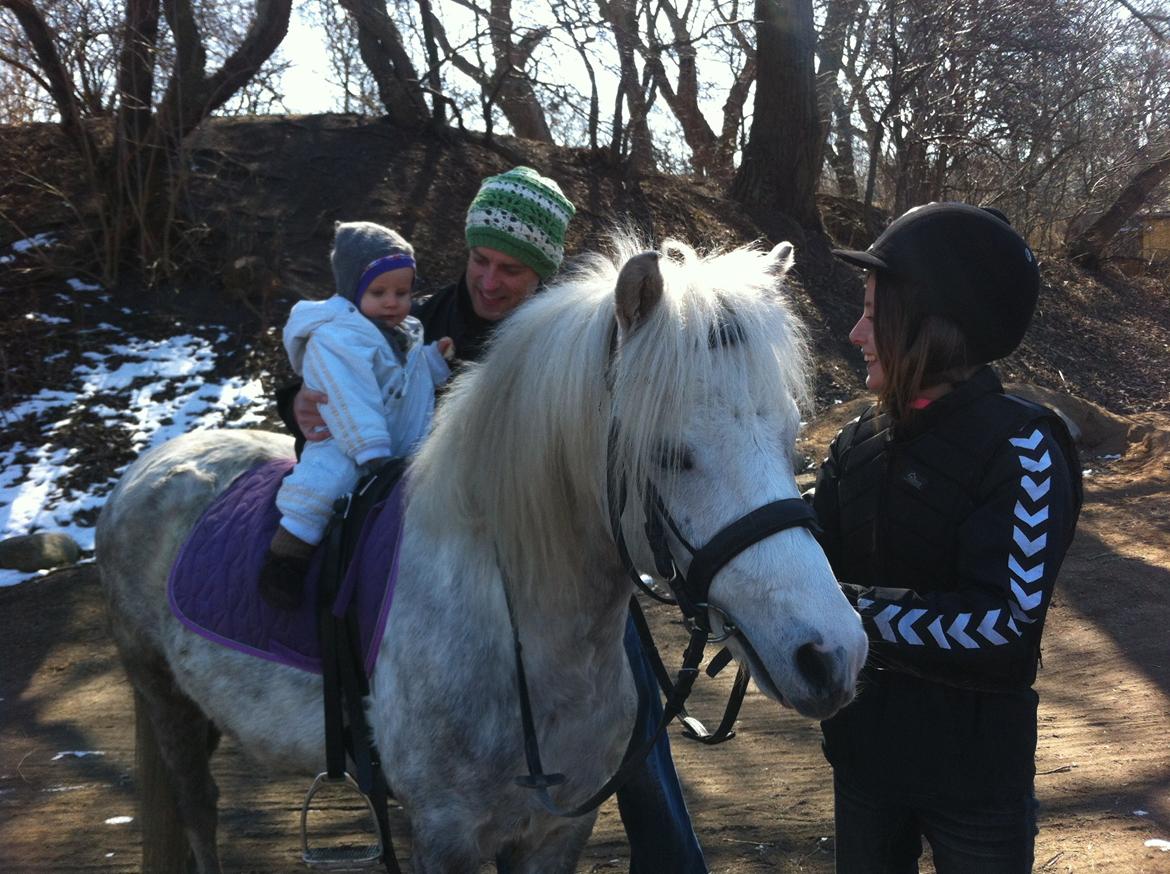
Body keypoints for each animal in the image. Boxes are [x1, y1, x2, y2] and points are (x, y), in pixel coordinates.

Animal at [96, 234, 868, 873]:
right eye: (671, 455)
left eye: (788, 437)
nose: (831, 653)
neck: (521, 638)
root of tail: (147, 467)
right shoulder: (447, 836)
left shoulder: (558, 833)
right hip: (162, 695)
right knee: (197, 809)